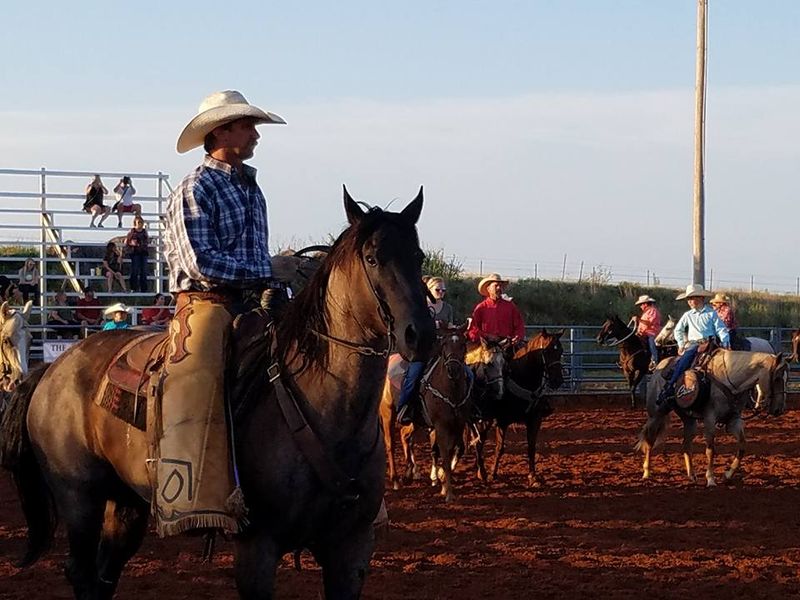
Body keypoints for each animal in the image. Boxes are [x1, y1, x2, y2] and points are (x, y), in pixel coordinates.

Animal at [0, 189, 434, 600]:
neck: (326, 414)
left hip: (125, 504)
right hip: (79, 499)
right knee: (82, 573)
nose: (420, 334)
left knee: (106, 575)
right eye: (373, 258)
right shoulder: (257, 549)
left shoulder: (351, 550)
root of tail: (52, 368)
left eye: (419, 256)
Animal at [380, 324, 472, 502]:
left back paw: (410, 472)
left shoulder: (459, 424)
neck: (450, 391)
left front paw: (441, 480)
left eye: (463, 344)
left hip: (414, 420)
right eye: (444, 344)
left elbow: (458, 449)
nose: (453, 369)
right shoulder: (441, 425)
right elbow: (444, 453)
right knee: (390, 444)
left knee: (405, 436)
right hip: (388, 414)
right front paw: (447, 490)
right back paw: (395, 480)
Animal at [476, 328, 564, 488]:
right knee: (479, 441)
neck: (523, 378)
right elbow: (500, 448)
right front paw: (493, 474)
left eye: (560, 351)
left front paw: (533, 477)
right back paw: (481, 472)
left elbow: (531, 447)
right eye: (546, 351)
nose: (557, 381)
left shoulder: (535, 420)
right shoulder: (502, 421)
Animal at [636, 352, 788, 488]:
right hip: (656, 415)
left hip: (689, 420)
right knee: (649, 442)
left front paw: (727, 475)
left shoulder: (734, 420)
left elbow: (742, 446)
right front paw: (710, 479)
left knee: (686, 445)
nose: (779, 409)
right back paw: (646, 473)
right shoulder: (710, 419)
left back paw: (691, 475)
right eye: (777, 378)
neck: (729, 379)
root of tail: (660, 366)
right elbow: (710, 450)